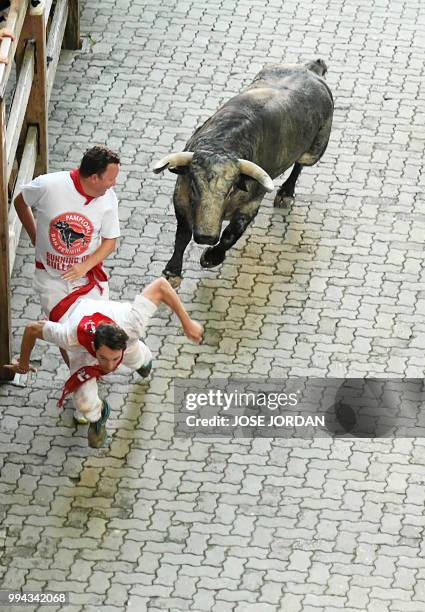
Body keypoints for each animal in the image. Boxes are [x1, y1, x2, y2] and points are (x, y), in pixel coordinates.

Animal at [154, 59, 332, 284]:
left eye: (230, 190)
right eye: (194, 186)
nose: (206, 237)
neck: (223, 143)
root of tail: (312, 69)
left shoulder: (251, 204)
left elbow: (231, 234)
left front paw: (211, 257)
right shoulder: (181, 197)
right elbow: (183, 234)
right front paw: (172, 271)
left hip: (314, 151)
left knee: (299, 164)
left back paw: (286, 193)